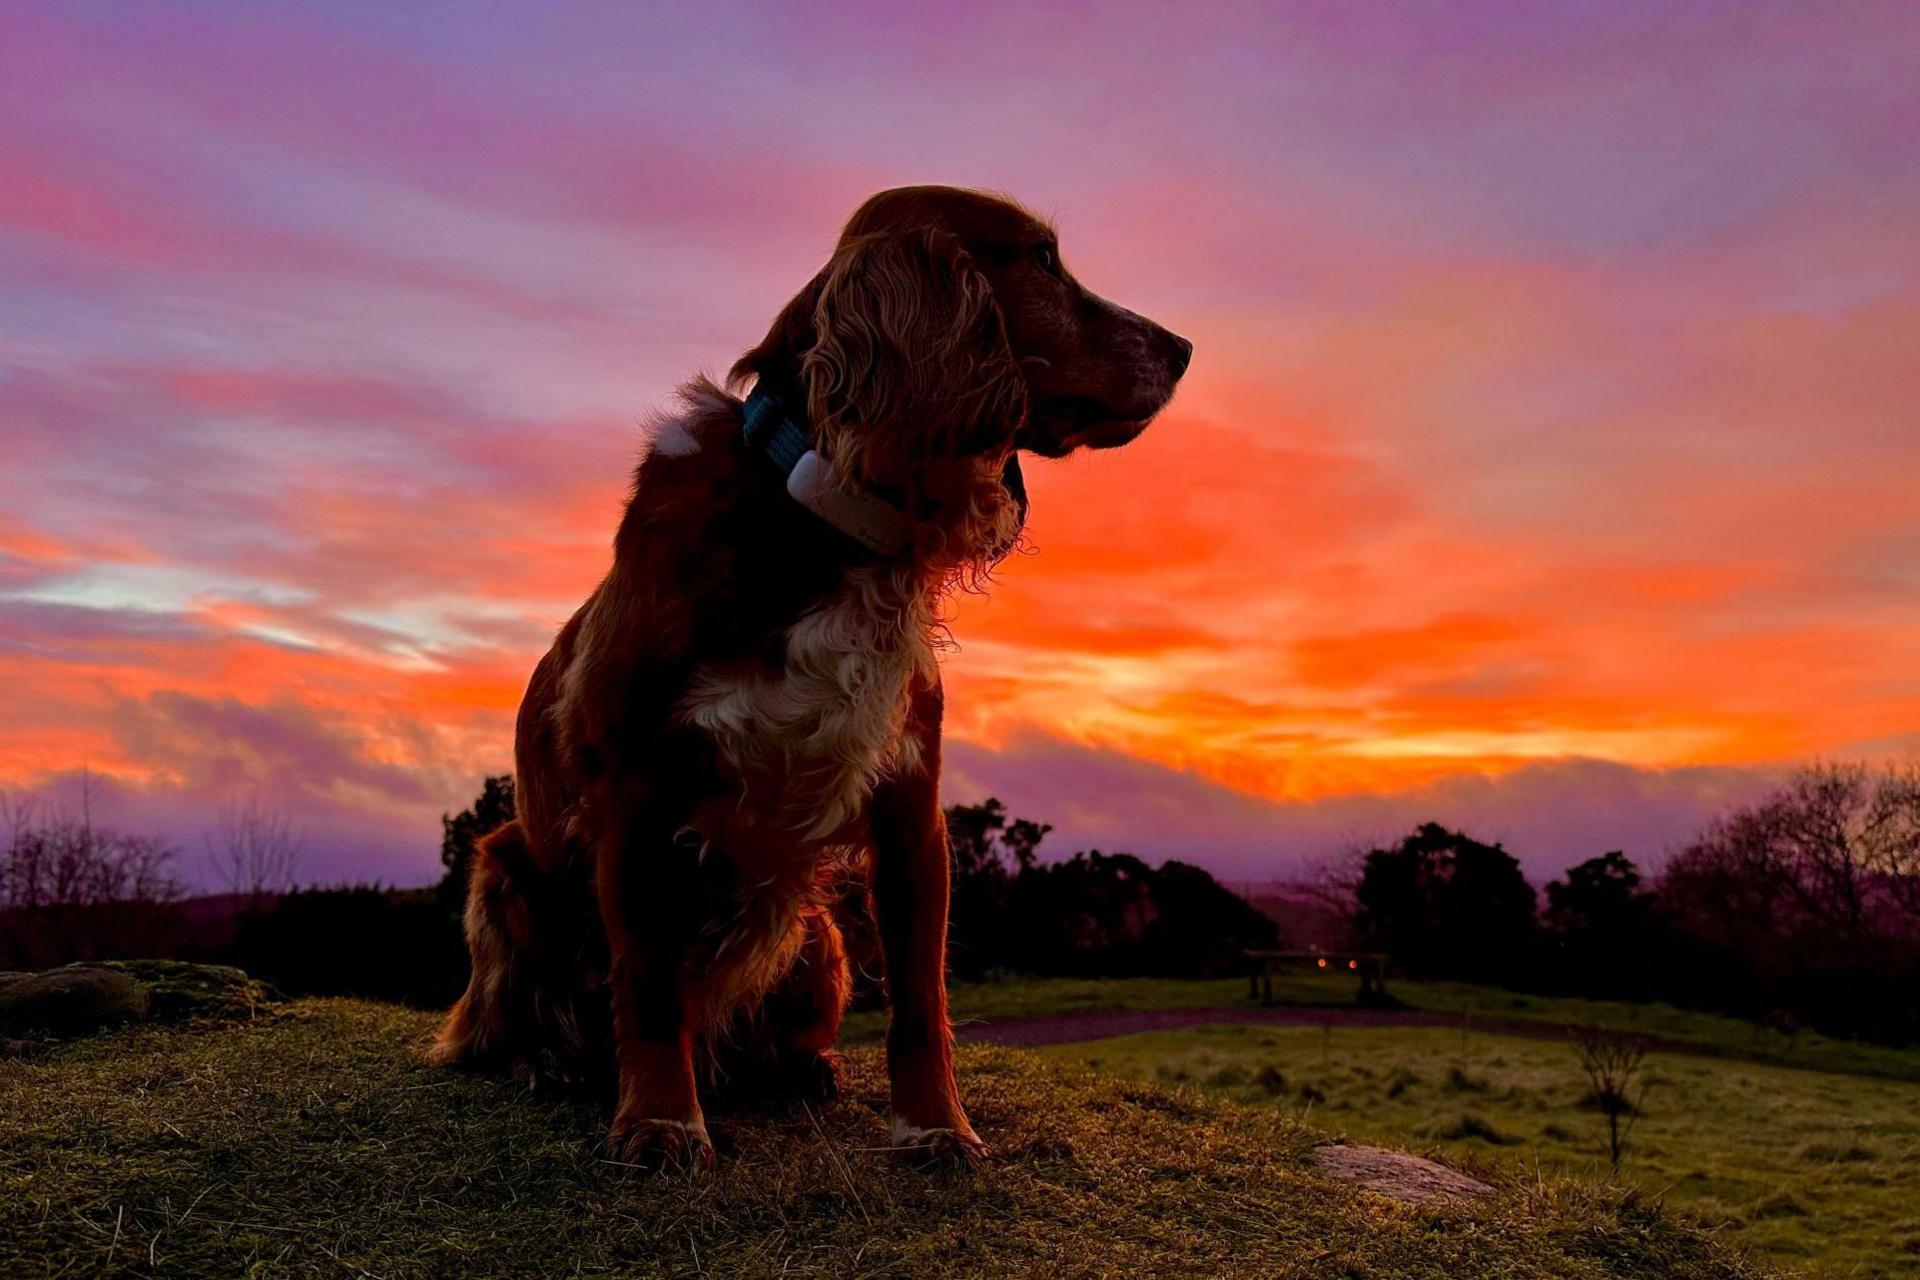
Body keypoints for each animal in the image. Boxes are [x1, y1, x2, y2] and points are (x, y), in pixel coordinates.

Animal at [428, 182, 1190, 1174]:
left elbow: (921, 1002)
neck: (818, 509)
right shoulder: (635, 790)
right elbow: (648, 985)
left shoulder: (911, 803)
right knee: (503, 1023)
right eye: (1042, 260)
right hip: (505, 867)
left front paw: (938, 1128)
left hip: (815, 934)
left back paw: (803, 1070)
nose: (1182, 348)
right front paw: (662, 1122)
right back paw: (547, 1064)